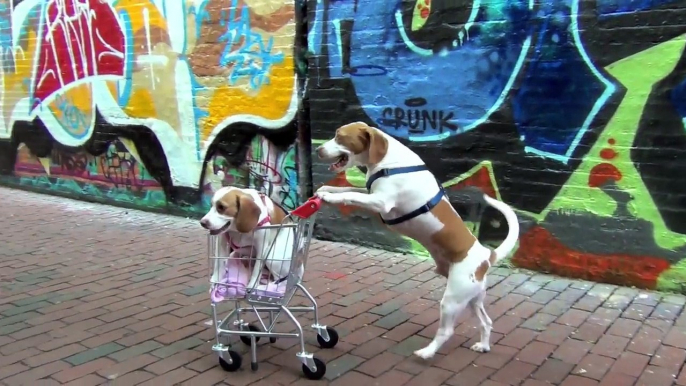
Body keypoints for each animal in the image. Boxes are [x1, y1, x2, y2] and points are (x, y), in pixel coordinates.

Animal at [314, 120, 520, 358]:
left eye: (340, 137)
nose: (318, 150)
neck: (389, 160)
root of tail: (487, 256)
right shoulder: (372, 194)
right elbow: (350, 188)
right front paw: (327, 188)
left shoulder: (381, 201)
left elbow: (350, 194)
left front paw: (328, 196)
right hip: (471, 299)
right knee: (486, 322)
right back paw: (483, 345)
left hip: (453, 299)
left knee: (446, 331)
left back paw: (427, 352)